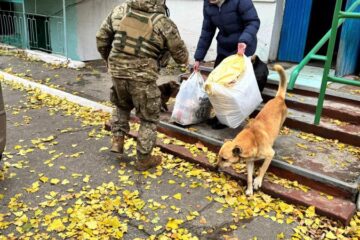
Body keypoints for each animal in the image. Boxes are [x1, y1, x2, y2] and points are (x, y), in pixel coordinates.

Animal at [217, 64, 286, 196]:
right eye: (219, 157)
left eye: (224, 159)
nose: (215, 168)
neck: (253, 139)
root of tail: (279, 98)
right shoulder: (249, 162)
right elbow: (249, 177)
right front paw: (249, 189)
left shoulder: (270, 155)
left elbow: (263, 168)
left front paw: (258, 181)